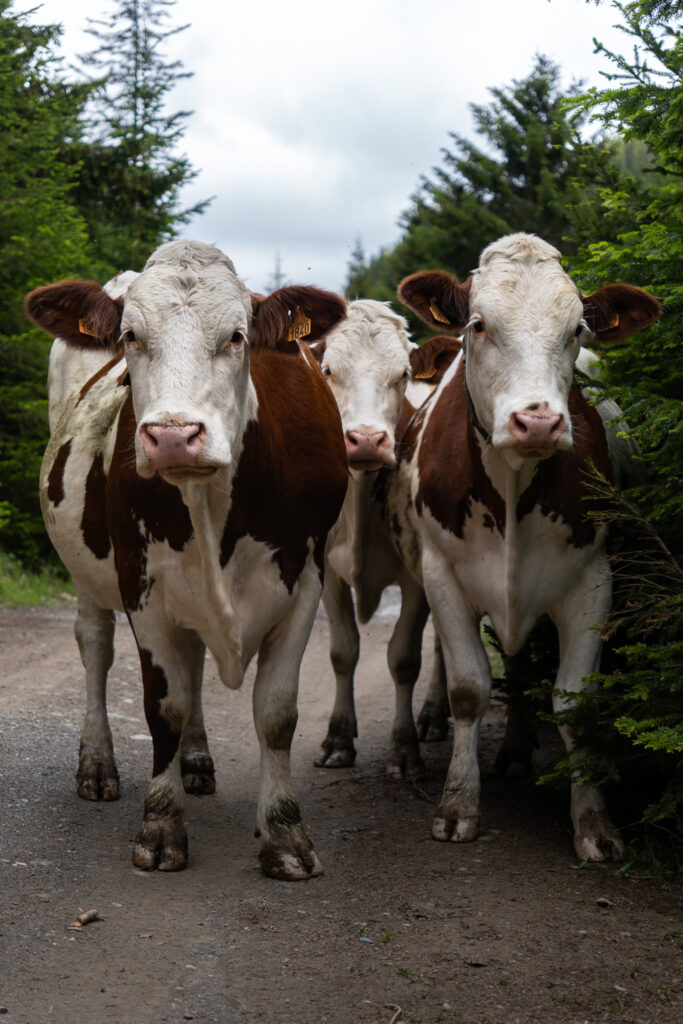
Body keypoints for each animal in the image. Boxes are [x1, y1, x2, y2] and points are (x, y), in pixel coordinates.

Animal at [26, 240, 349, 878]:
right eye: (129, 336)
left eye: (238, 335)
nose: (174, 435)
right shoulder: (141, 583)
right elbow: (164, 708)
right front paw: (160, 826)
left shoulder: (306, 581)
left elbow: (276, 713)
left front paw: (285, 834)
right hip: (89, 567)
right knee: (96, 648)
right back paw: (97, 763)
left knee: (196, 659)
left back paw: (197, 759)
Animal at [311, 301, 460, 775]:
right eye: (328, 369)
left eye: (403, 374)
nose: (365, 440)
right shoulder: (328, 573)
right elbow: (343, 651)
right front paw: (338, 739)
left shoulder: (416, 576)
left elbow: (404, 657)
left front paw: (404, 748)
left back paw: (432, 716)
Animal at [388, 233, 661, 862]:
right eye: (480, 325)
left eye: (577, 329)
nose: (536, 423)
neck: (512, 486)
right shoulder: (443, 575)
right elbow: (467, 688)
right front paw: (457, 805)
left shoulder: (592, 581)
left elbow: (575, 702)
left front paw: (595, 822)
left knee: (516, 661)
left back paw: (514, 750)